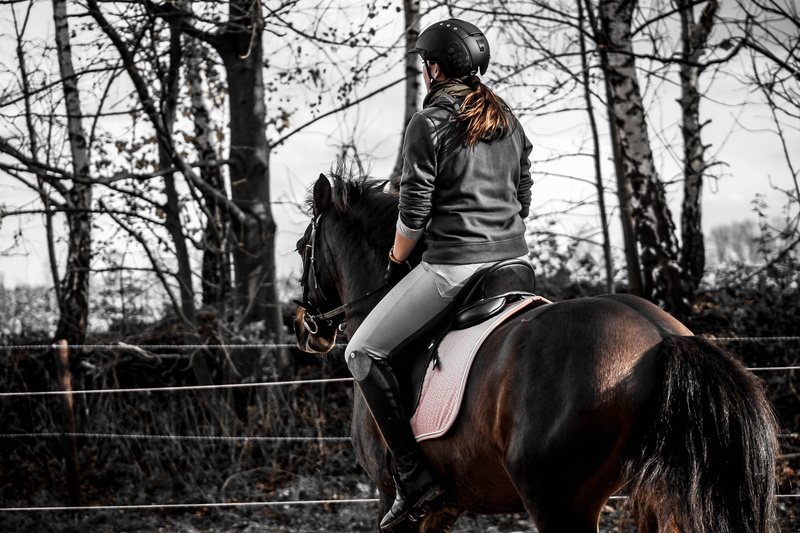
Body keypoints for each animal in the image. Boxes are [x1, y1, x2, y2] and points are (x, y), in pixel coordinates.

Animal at [292, 170, 779, 533]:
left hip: (556, 500)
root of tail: (660, 335)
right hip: (651, 496)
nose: (302, 326)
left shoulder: (393, 499)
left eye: (301, 249)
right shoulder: (445, 508)